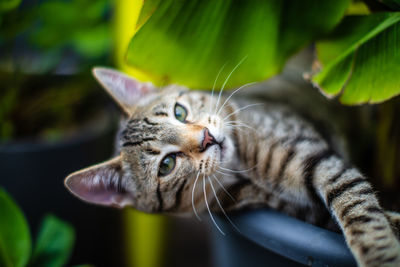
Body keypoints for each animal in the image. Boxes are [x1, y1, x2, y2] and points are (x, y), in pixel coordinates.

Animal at [65, 68, 400, 266]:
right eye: (167, 165)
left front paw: (380, 254)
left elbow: (358, 210)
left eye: (179, 112)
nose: (206, 137)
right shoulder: (297, 209)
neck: (246, 168)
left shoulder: (319, 159)